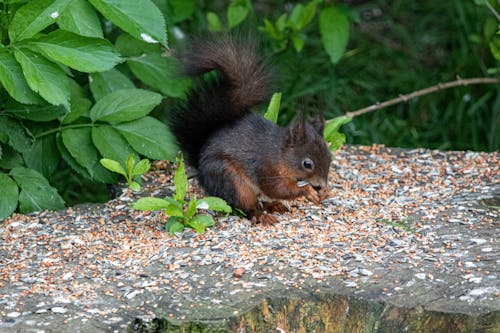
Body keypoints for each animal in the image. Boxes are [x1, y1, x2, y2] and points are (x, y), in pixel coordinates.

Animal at [171, 35, 332, 224]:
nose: (321, 185)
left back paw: (274, 205)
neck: (280, 154)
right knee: (243, 207)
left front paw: (325, 192)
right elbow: (278, 188)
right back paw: (261, 215)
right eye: (307, 164)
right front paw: (308, 191)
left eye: (330, 157)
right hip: (233, 182)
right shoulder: (266, 168)